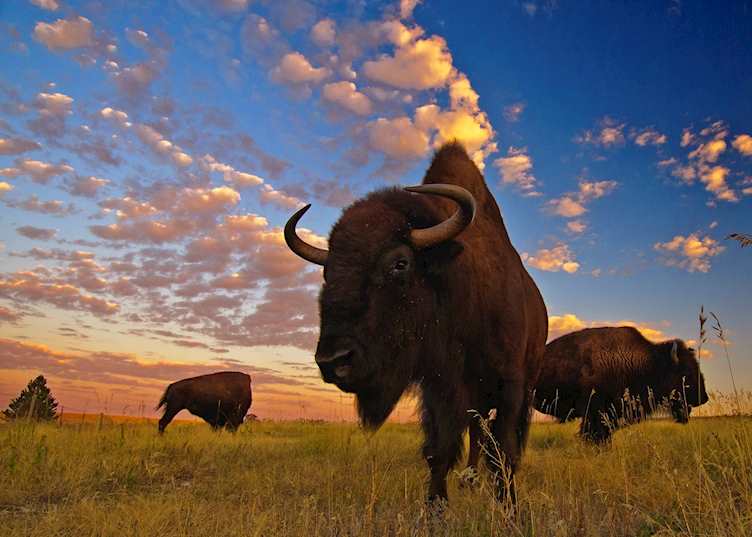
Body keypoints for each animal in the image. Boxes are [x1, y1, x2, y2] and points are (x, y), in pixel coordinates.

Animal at [284, 142, 548, 503]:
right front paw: (435, 506)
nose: (332, 361)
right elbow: (439, 451)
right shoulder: (440, 390)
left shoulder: (510, 386)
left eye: (400, 263)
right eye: (328, 271)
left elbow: (503, 453)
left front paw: (509, 507)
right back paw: (469, 479)